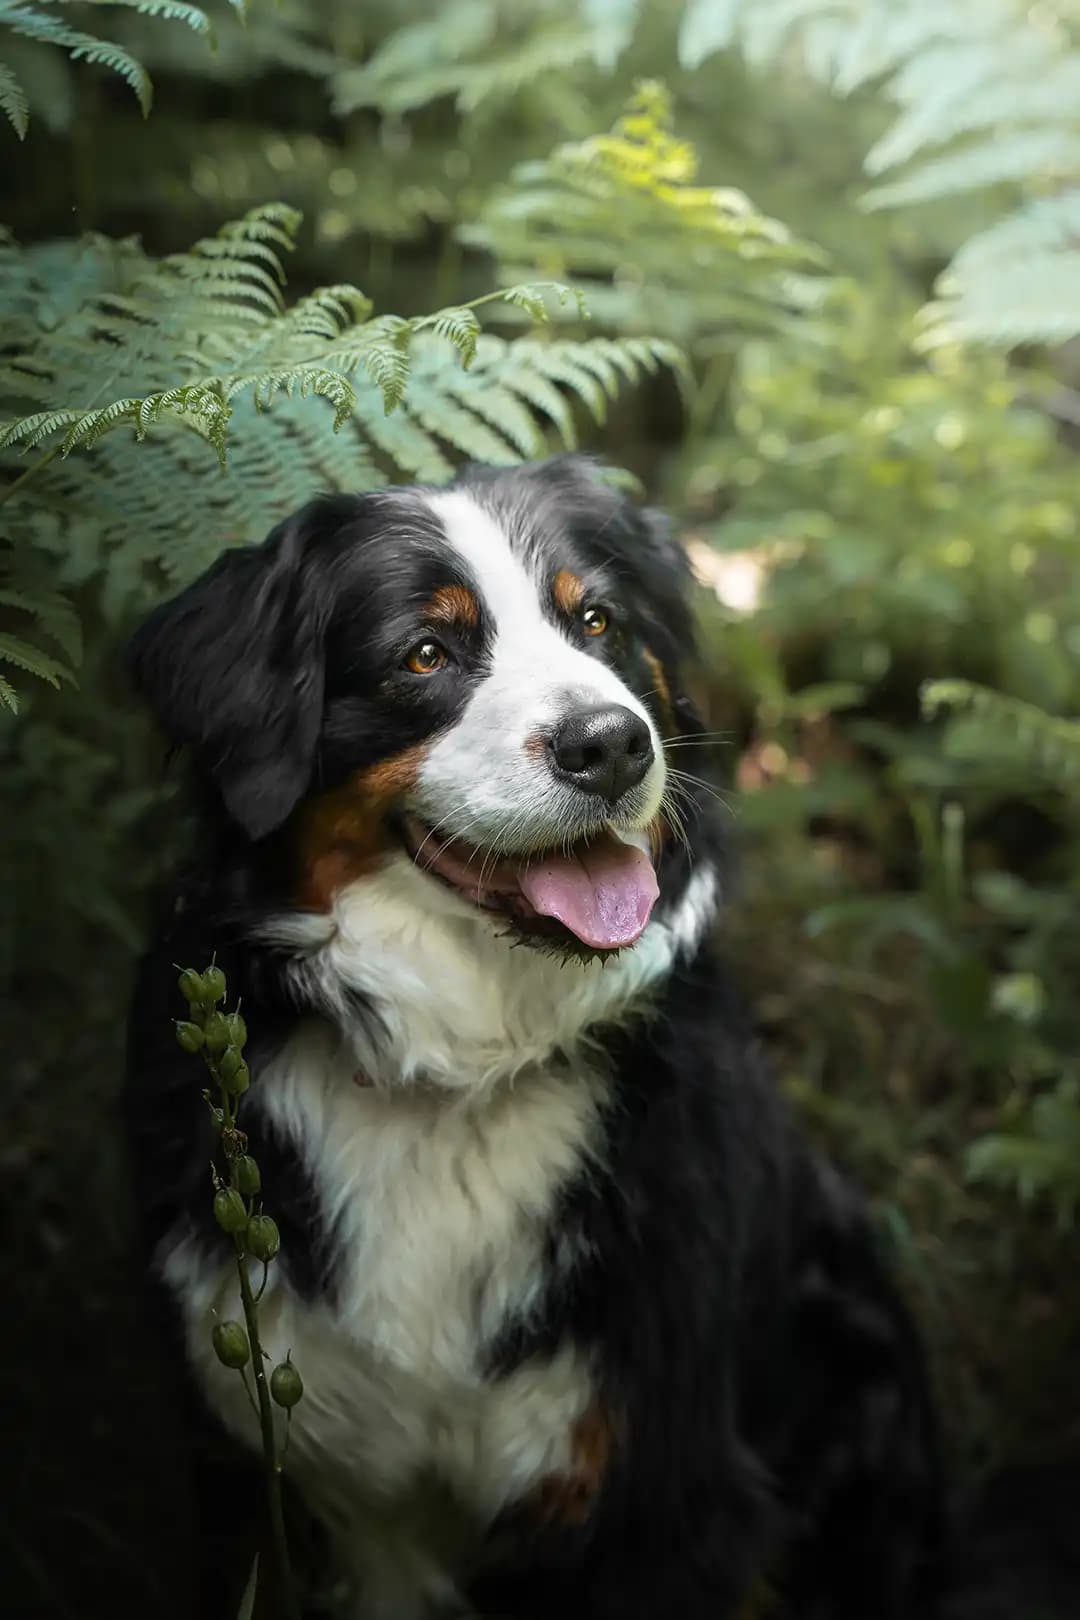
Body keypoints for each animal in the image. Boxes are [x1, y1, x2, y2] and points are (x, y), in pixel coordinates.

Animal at [127, 456, 945, 1620]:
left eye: (596, 621)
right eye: (425, 653)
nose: (611, 744)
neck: (458, 1079)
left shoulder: (658, 1486)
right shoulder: (296, 1461)